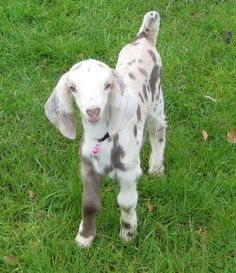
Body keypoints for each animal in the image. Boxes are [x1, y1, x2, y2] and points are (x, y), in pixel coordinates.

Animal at [44, 10, 166, 245]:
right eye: (73, 88)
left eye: (108, 85)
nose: (93, 111)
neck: (103, 139)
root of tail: (144, 38)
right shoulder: (88, 170)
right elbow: (89, 204)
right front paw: (84, 238)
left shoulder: (129, 172)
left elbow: (126, 202)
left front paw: (128, 234)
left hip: (156, 99)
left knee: (158, 130)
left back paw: (156, 167)